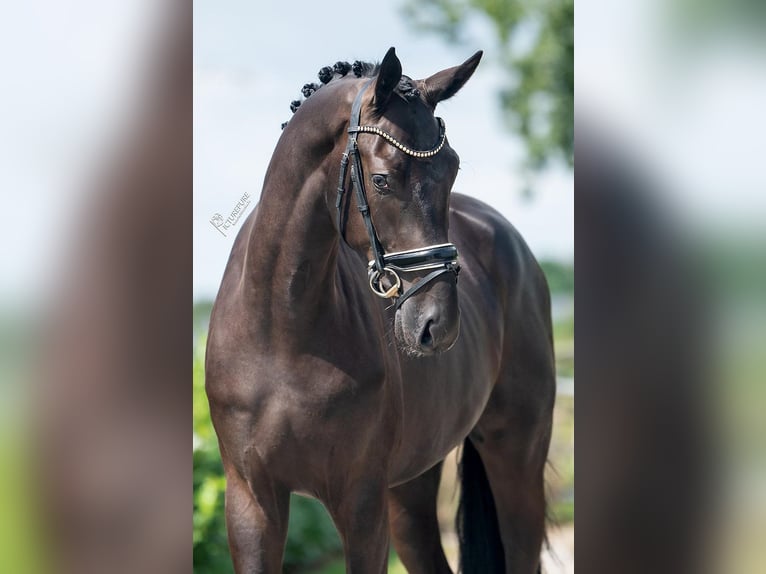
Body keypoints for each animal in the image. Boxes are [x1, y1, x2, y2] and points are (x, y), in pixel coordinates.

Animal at [206, 47, 560, 572]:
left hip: (516, 453)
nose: (437, 324)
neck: (280, 329)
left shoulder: (361, 503)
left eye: (452, 169)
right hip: (410, 487)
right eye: (382, 179)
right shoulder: (251, 502)